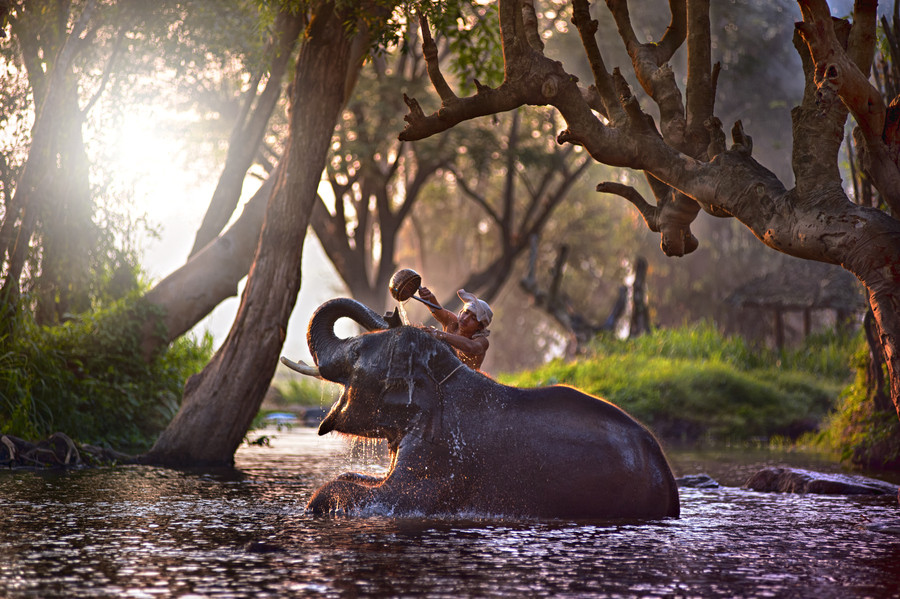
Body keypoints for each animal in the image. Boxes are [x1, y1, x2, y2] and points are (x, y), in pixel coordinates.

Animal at [288, 300, 684, 520]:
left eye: (356, 352)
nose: (393, 312)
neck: (440, 374)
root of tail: (666, 475)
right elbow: (358, 478)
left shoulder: (443, 453)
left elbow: (392, 496)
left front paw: (315, 505)